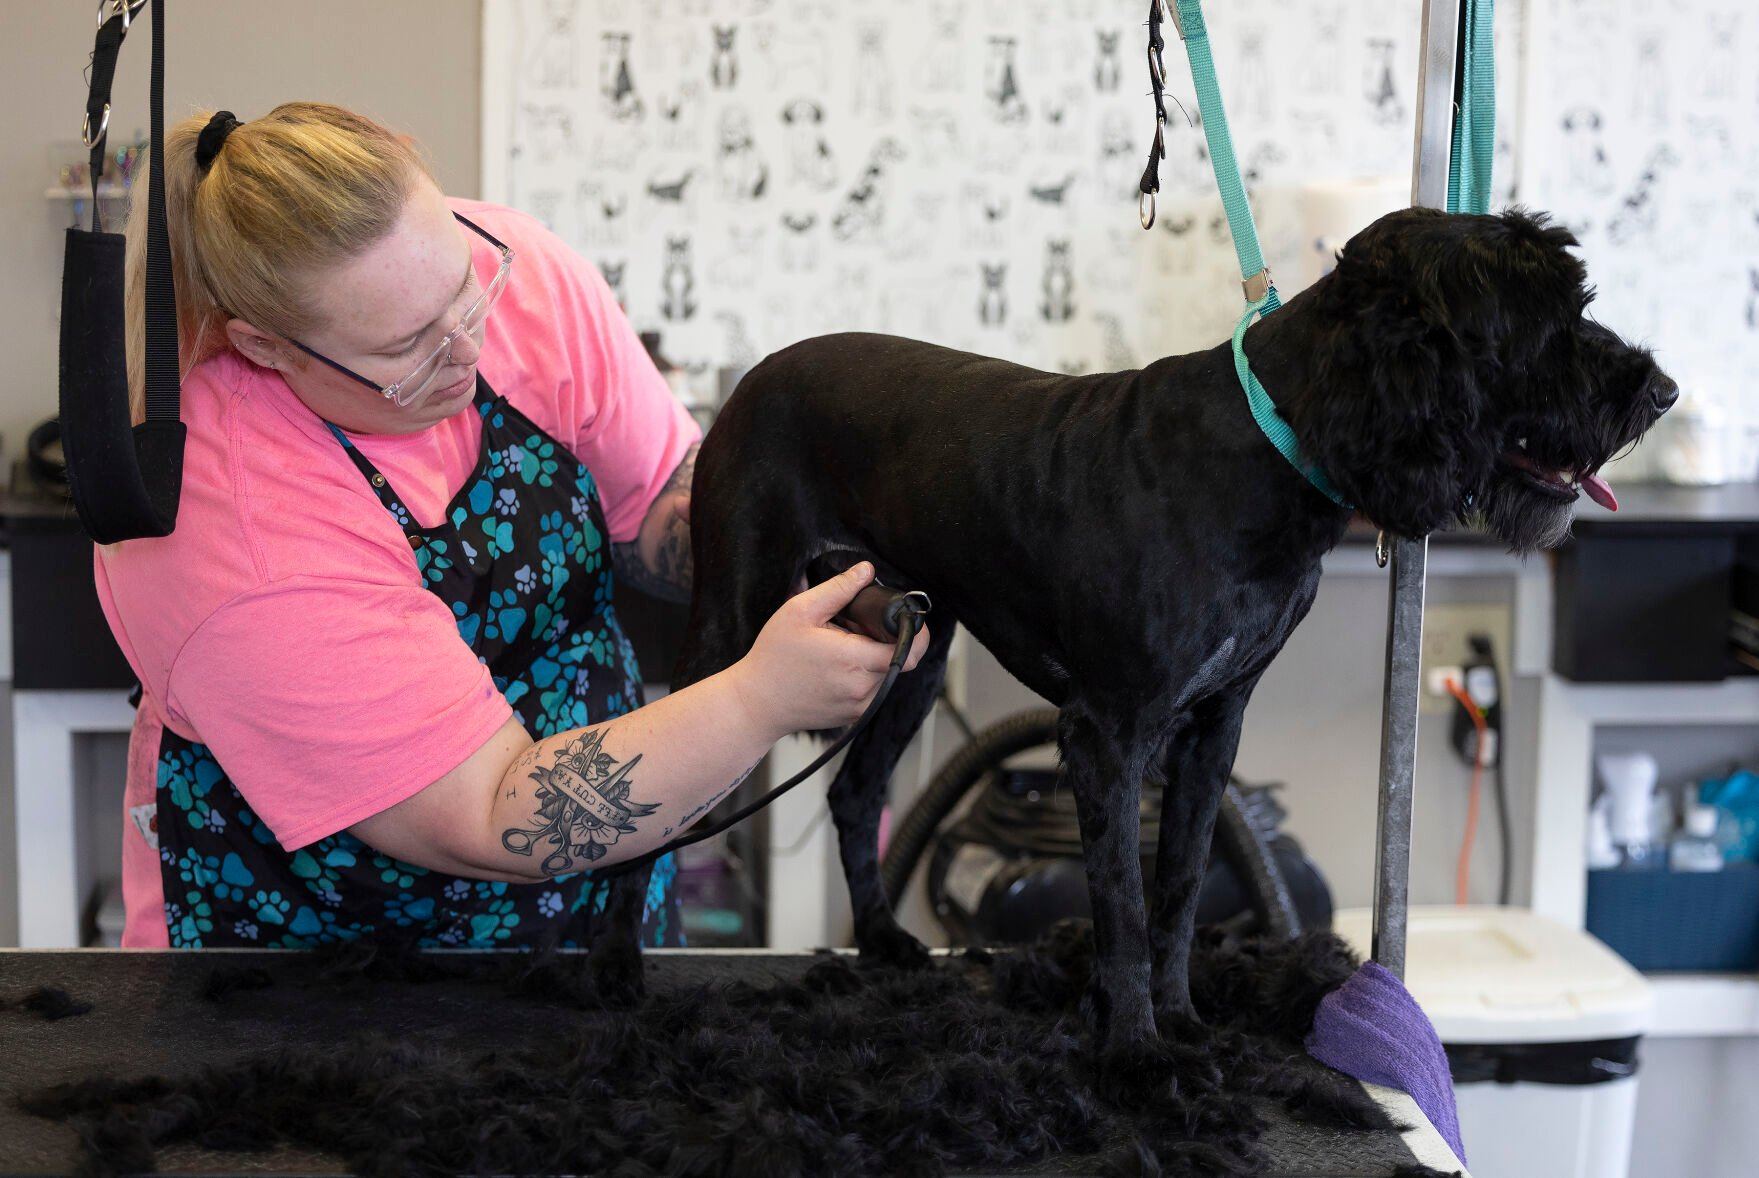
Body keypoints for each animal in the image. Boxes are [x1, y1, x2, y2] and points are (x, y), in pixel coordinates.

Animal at [587, 207, 1674, 1104]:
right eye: (1543, 318)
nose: (1660, 389)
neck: (1270, 449)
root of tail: (752, 377)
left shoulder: (1212, 730)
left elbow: (1180, 889)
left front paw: (1181, 1019)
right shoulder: (1108, 734)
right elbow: (1117, 899)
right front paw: (1135, 1053)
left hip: (917, 650)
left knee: (855, 794)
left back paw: (887, 941)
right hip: (733, 630)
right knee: (653, 783)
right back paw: (617, 970)